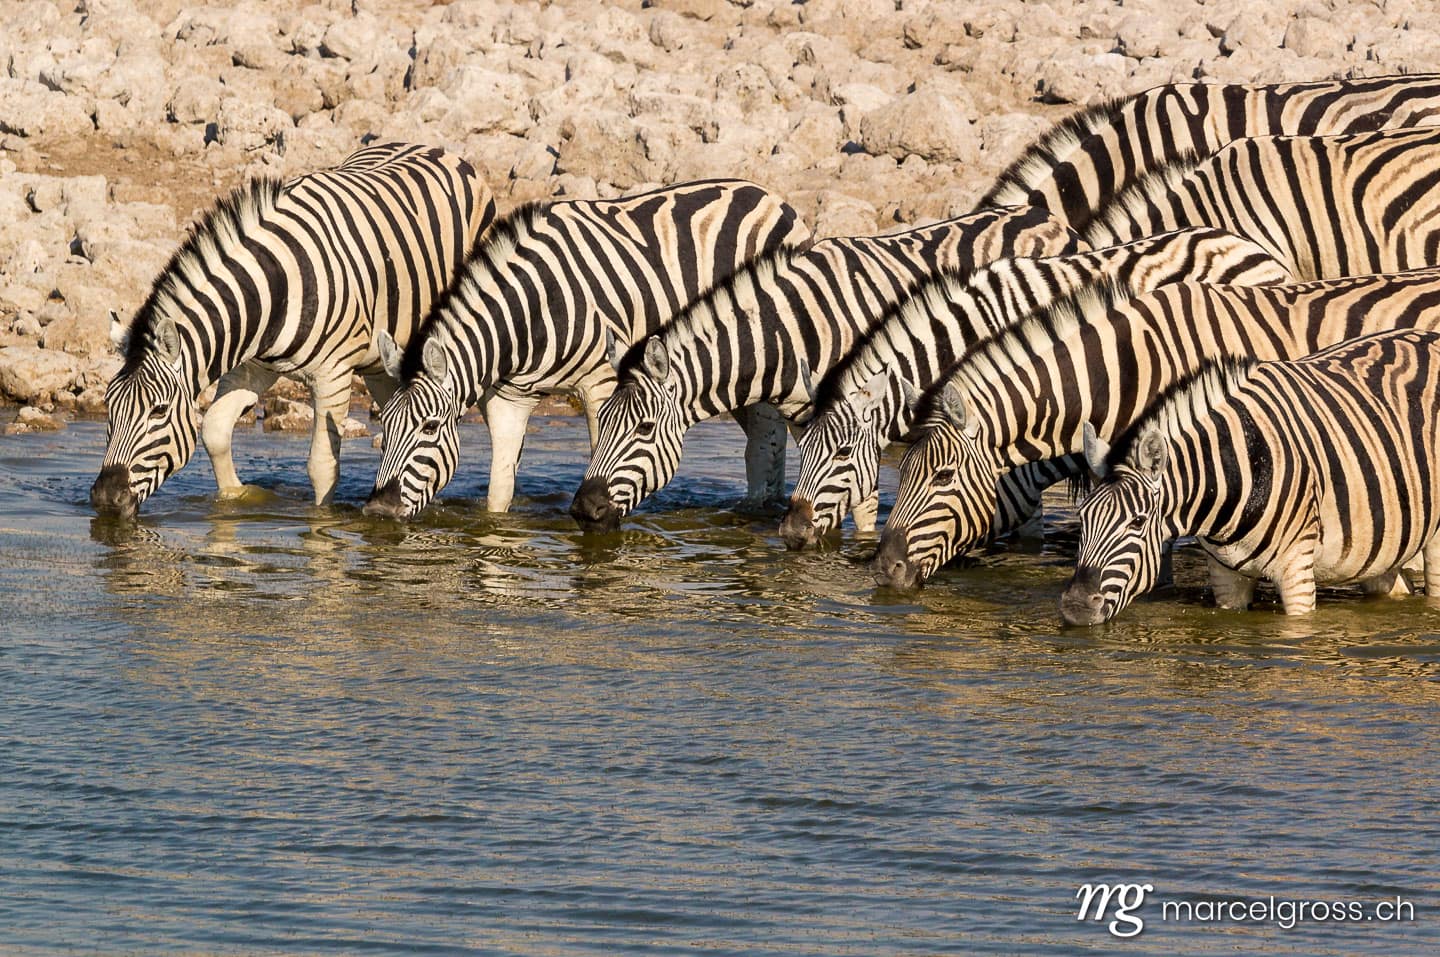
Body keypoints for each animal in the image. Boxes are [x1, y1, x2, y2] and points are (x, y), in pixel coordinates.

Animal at [90, 142, 495, 519]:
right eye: (109, 405)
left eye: (158, 411)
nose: (106, 498)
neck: (273, 290)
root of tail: (436, 148)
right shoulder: (251, 365)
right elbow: (215, 431)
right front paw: (234, 501)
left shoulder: (333, 377)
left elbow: (322, 467)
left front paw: (321, 526)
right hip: (382, 360)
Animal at [362, 179, 809, 519]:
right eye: (385, 427)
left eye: (429, 427)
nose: (380, 511)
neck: (532, 310)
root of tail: (771, 196)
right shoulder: (507, 399)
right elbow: (499, 490)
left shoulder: (601, 385)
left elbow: (604, 454)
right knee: (762, 441)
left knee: (769, 440)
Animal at [568, 205, 1082, 532]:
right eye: (602, 423)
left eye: (644, 428)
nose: (582, 510)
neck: (789, 332)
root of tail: (1050, 218)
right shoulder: (814, 423)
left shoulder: (862, 418)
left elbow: (863, 505)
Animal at [1061, 328, 1440, 624]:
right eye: (1082, 518)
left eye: (1137, 522)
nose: (1076, 608)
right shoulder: (1225, 575)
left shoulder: (1296, 570)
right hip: (1383, 538)